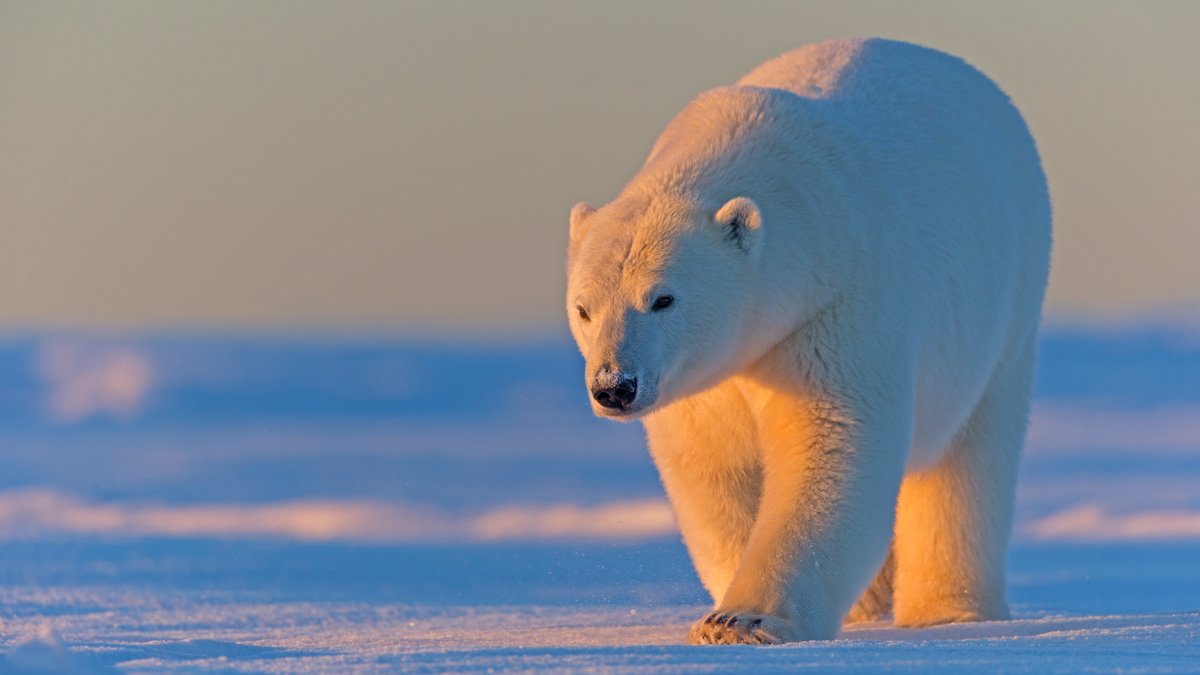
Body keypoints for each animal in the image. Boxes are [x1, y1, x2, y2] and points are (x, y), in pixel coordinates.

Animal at [565, 38, 1051, 644]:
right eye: (584, 308)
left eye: (663, 299)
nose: (614, 387)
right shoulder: (701, 378)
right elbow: (715, 468)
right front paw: (723, 613)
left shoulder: (835, 306)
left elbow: (828, 443)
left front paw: (746, 620)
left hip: (1007, 304)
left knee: (967, 461)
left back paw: (949, 611)